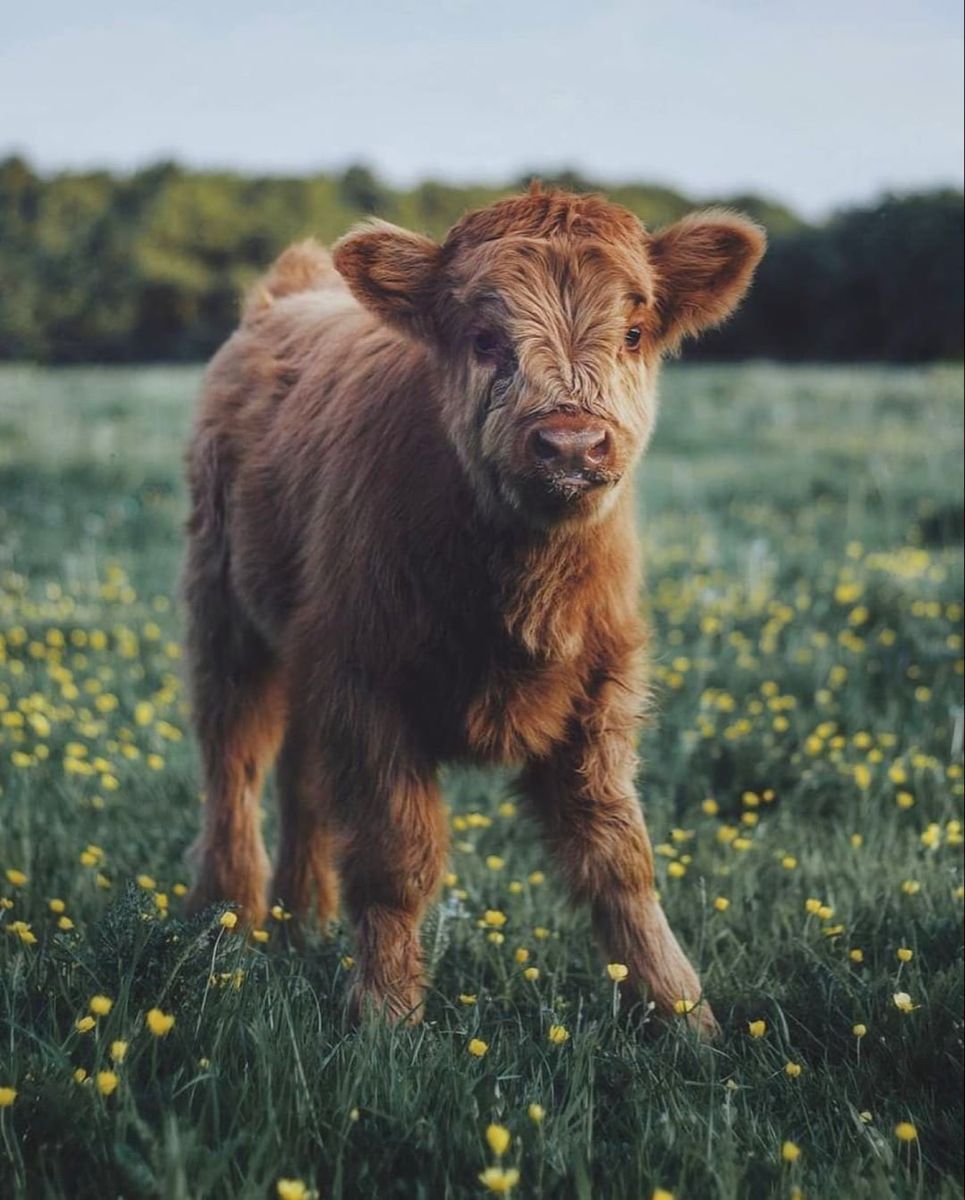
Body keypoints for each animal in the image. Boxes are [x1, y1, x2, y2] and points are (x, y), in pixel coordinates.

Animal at [182, 186, 765, 1037]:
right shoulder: (365, 682)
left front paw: (685, 1018)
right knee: (235, 759)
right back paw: (224, 919)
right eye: (485, 338)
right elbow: (397, 857)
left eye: (631, 332)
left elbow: (619, 857)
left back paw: (301, 922)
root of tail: (291, 291)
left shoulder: (601, 691)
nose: (570, 444)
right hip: (223, 613)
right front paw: (386, 1016)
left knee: (301, 777)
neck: (518, 593)